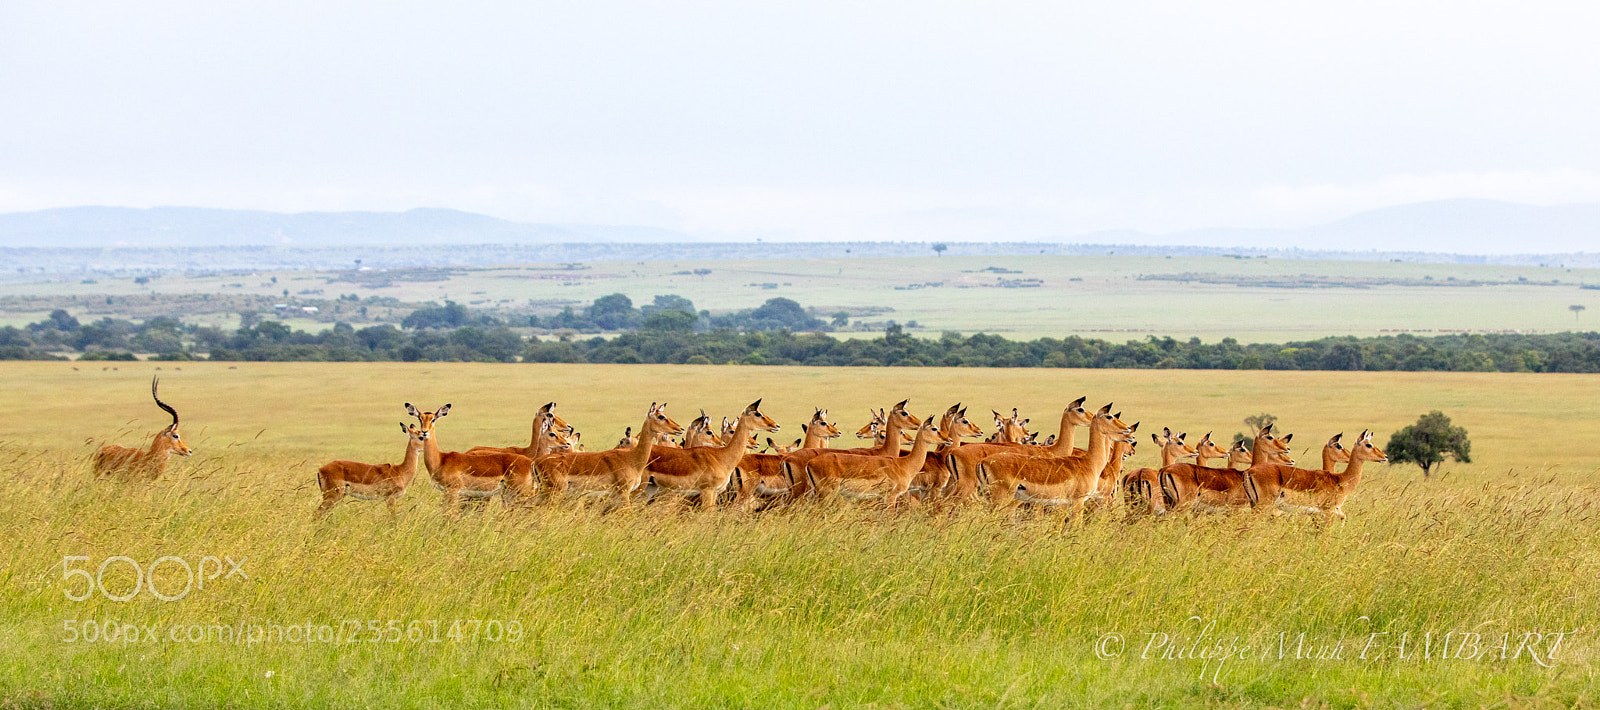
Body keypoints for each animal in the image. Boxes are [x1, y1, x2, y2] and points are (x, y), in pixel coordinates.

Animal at [805, 416, 949, 509]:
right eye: (934, 429)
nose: (948, 439)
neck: (903, 464)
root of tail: (809, 463)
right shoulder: (891, 496)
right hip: (826, 495)